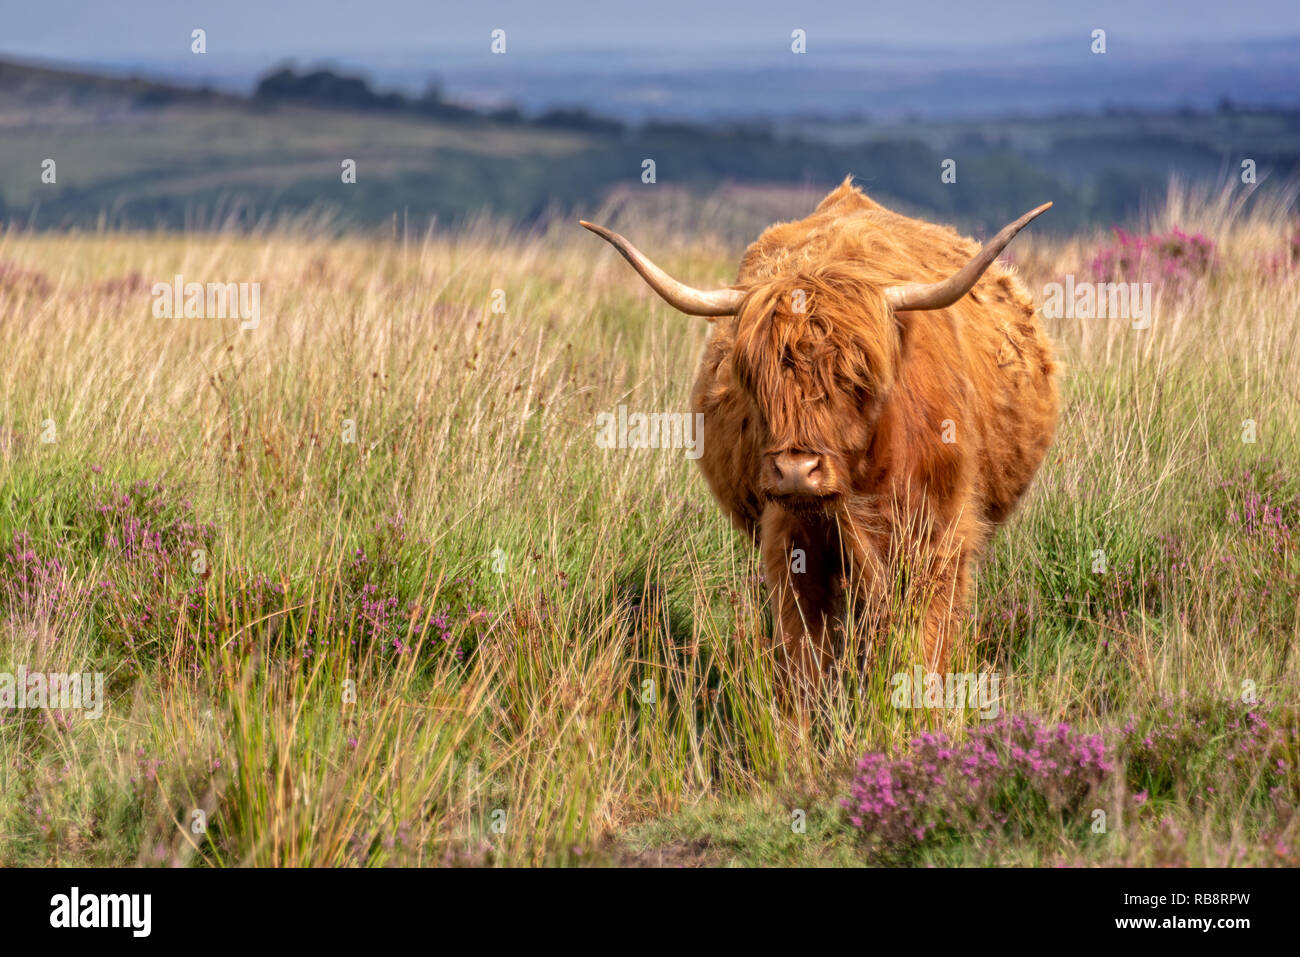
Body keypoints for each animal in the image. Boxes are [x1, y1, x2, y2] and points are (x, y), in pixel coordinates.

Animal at [583, 178, 1059, 697]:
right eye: (754, 378)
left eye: (857, 378)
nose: (796, 471)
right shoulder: (791, 545)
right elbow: (806, 658)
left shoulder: (940, 539)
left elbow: (924, 647)